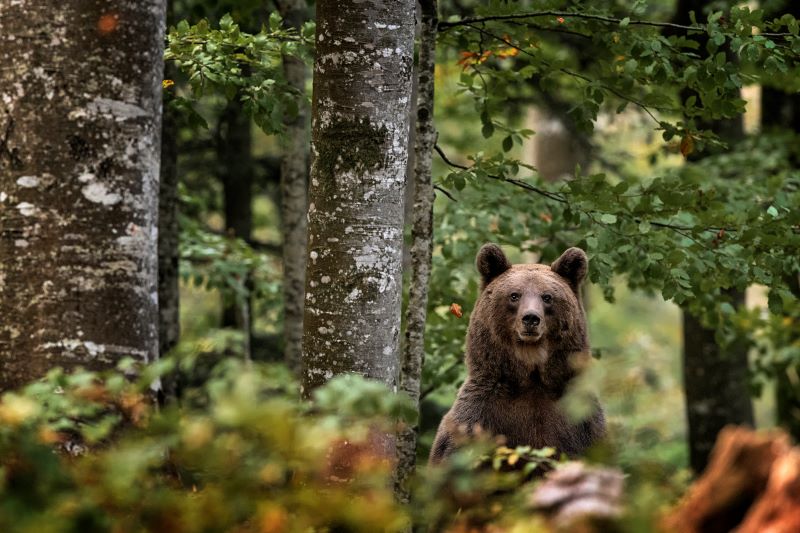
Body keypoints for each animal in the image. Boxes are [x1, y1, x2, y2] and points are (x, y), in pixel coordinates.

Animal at [432, 244, 608, 462]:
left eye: (547, 297)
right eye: (514, 295)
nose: (531, 318)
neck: (531, 379)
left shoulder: (581, 423)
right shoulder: (478, 417)